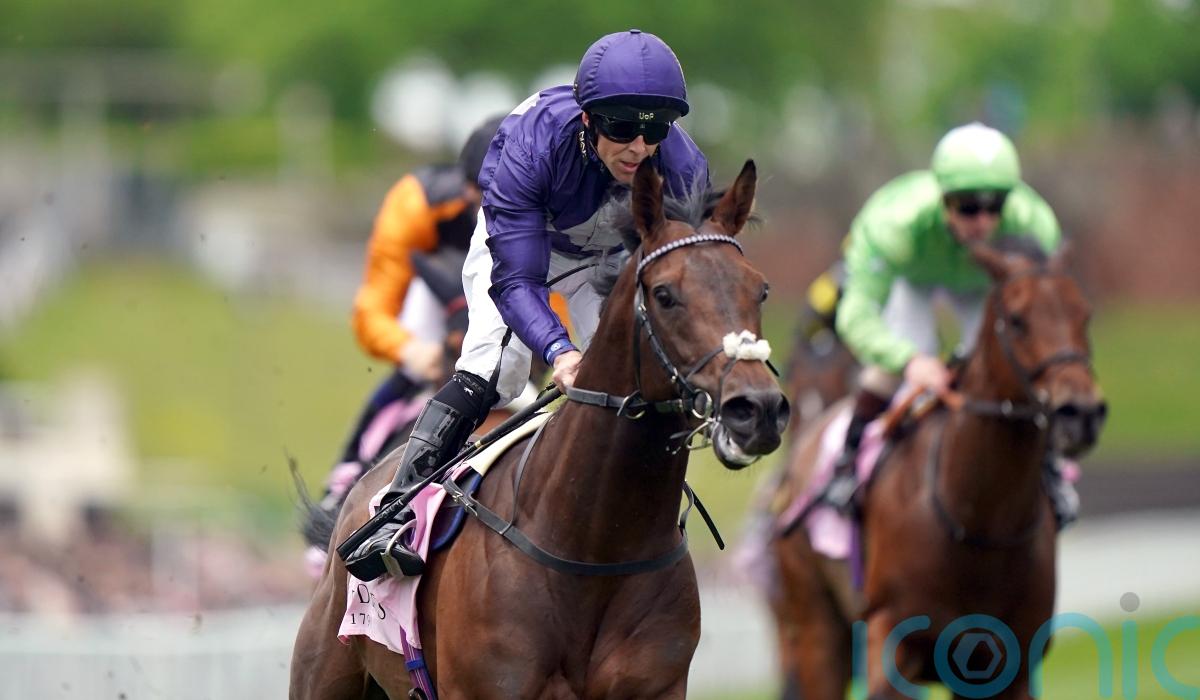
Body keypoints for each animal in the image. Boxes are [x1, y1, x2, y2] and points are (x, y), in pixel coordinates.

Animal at [765, 239, 1106, 699]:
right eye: (1017, 319)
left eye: (1083, 314)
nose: (1081, 412)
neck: (979, 522)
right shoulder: (891, 640)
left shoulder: (1007, 665)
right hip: (817, 627)